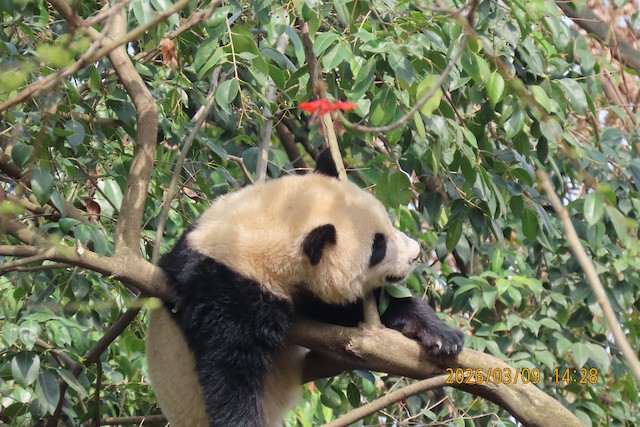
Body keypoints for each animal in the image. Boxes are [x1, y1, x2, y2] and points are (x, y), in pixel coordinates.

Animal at [145, 151, 464, 427]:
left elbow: (346, 312)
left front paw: (441, 335)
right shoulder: (225, 286)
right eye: (378, 248)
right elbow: (228, 369)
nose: (415, 254)